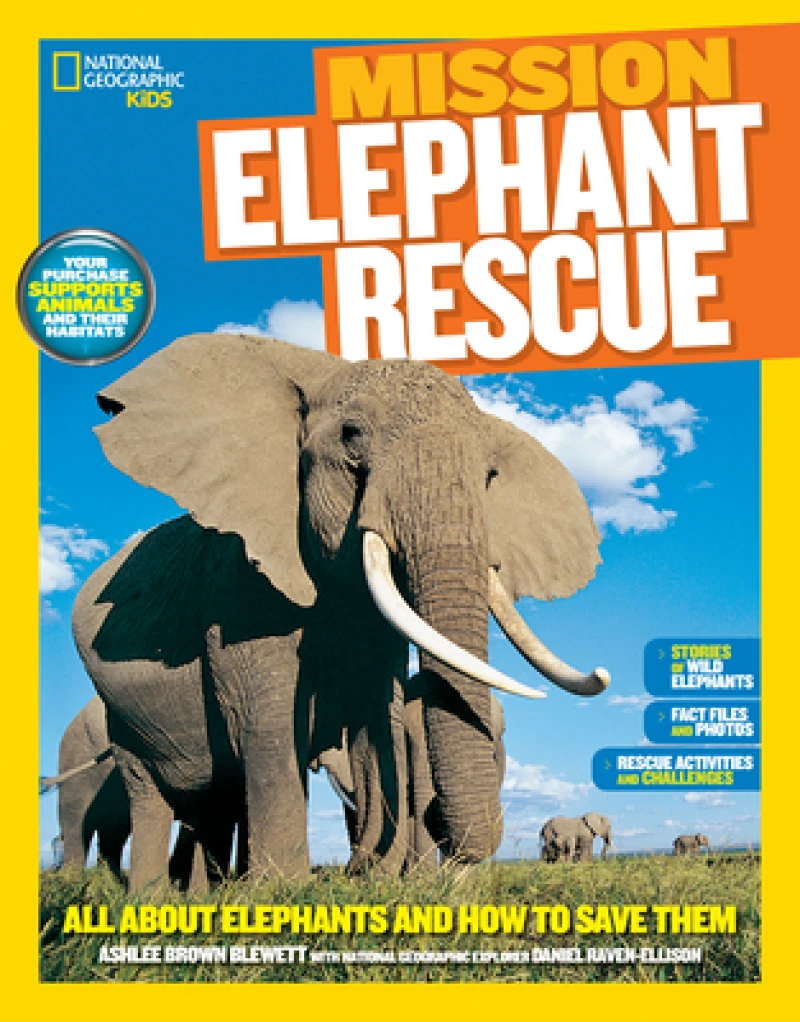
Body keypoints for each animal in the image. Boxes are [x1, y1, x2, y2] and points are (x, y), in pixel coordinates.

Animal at [71, 331, 609, 889]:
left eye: (491, 475)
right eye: (352, 436)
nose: (357, 863)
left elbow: (378, 714)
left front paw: (377, 878)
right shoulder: (239, 589)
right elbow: (271, 728)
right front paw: (283, 890)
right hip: (121, 715)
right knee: (151, 793)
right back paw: (153, 897)